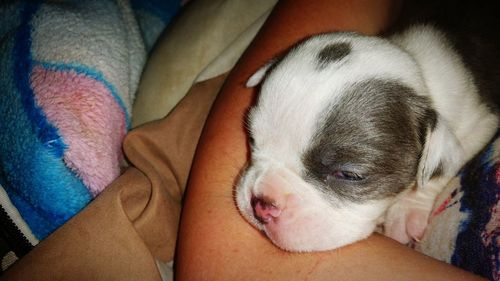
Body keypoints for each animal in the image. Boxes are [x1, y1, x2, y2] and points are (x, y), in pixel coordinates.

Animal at [235, 1, 500, 250]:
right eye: (252, 140)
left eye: (350, 175)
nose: (261, 204)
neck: (419, 70)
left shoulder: (482, 121)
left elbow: (439, 171)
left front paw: (406, 210)